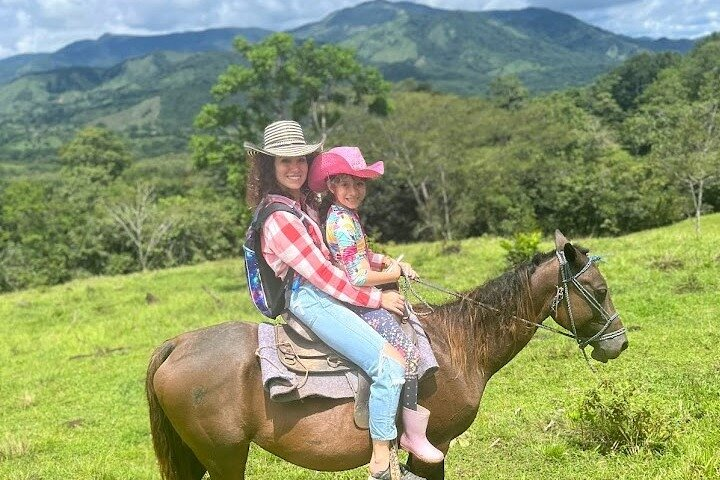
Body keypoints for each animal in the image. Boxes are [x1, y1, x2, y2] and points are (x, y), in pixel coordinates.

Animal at [148, 231, 632, 478]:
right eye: (599, 289)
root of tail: (178, 344)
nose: (620, 342)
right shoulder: (434, 443)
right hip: (224, 456)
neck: (458, 345)